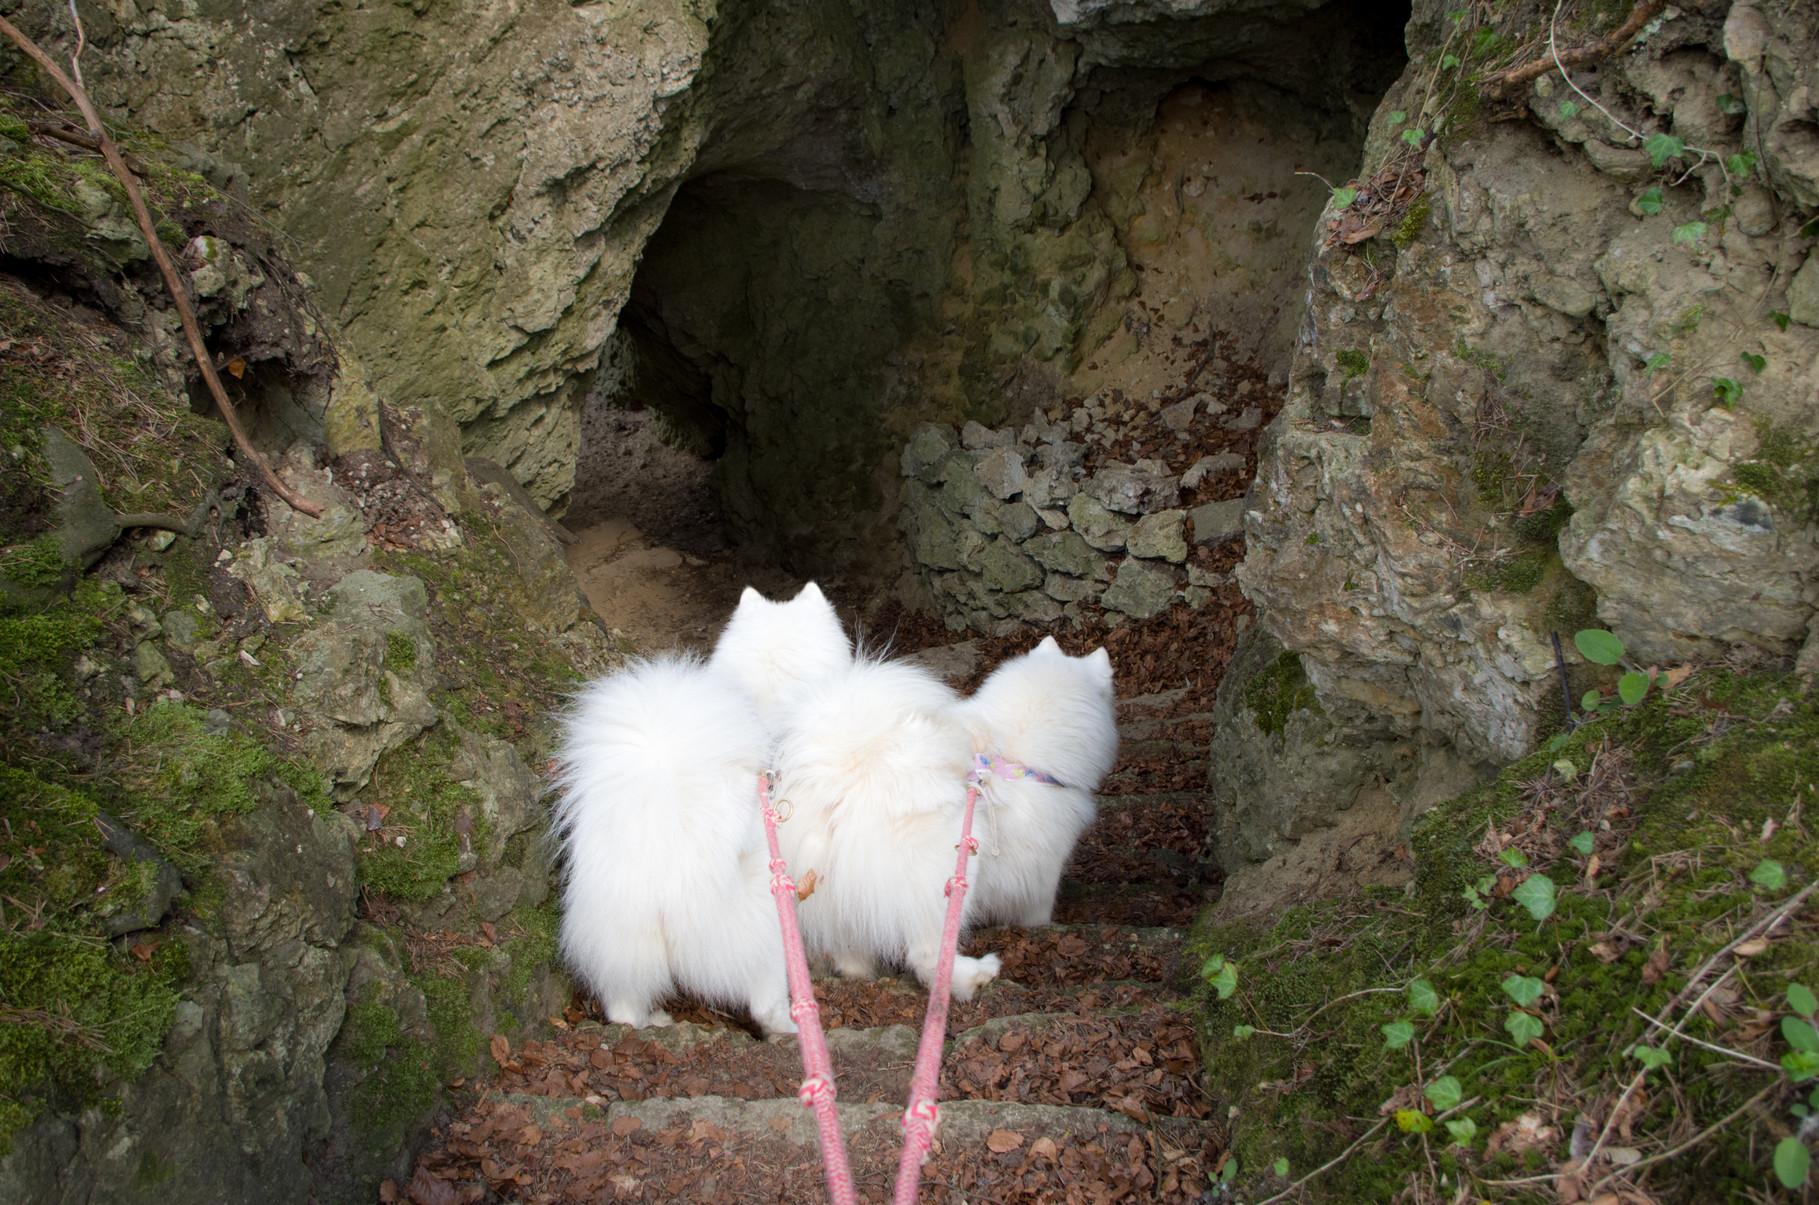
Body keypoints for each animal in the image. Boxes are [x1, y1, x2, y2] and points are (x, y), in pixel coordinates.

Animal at [545, 662, 789, 1041]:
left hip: (623, 945)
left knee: (624, 1008)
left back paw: (652, 1021)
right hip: (758, 936)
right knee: (767, 1003)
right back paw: (791, 1028)